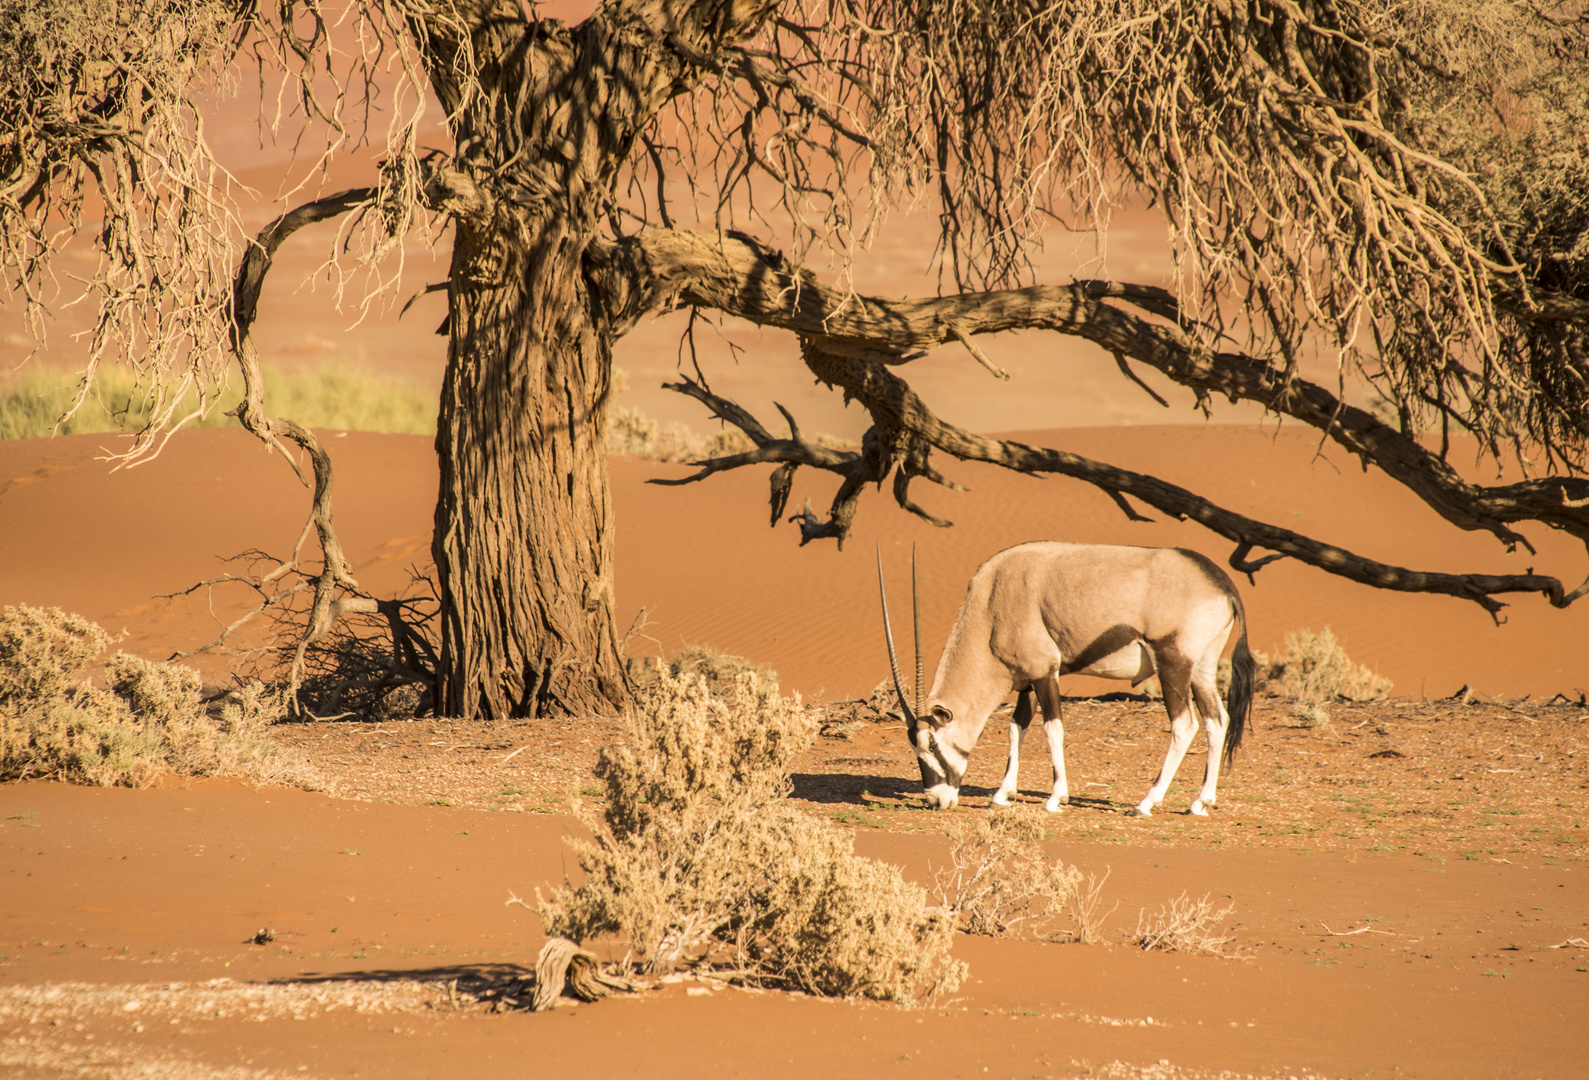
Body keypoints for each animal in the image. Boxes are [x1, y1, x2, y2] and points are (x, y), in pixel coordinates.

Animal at [877, 540, 1258, 819]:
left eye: (932, 745)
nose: (935, 800)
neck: (992, 602)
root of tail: (1221, 583)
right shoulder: (1027, 679)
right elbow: (1017, 727)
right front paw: (1002, 794)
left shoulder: (1046, 673)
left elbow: (1052, 729)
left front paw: (1055, 797)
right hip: (1202, 670)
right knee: (1216, 720)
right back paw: (1200, 802)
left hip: (1173, 666)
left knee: (1184, 724)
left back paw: (1146, 803)